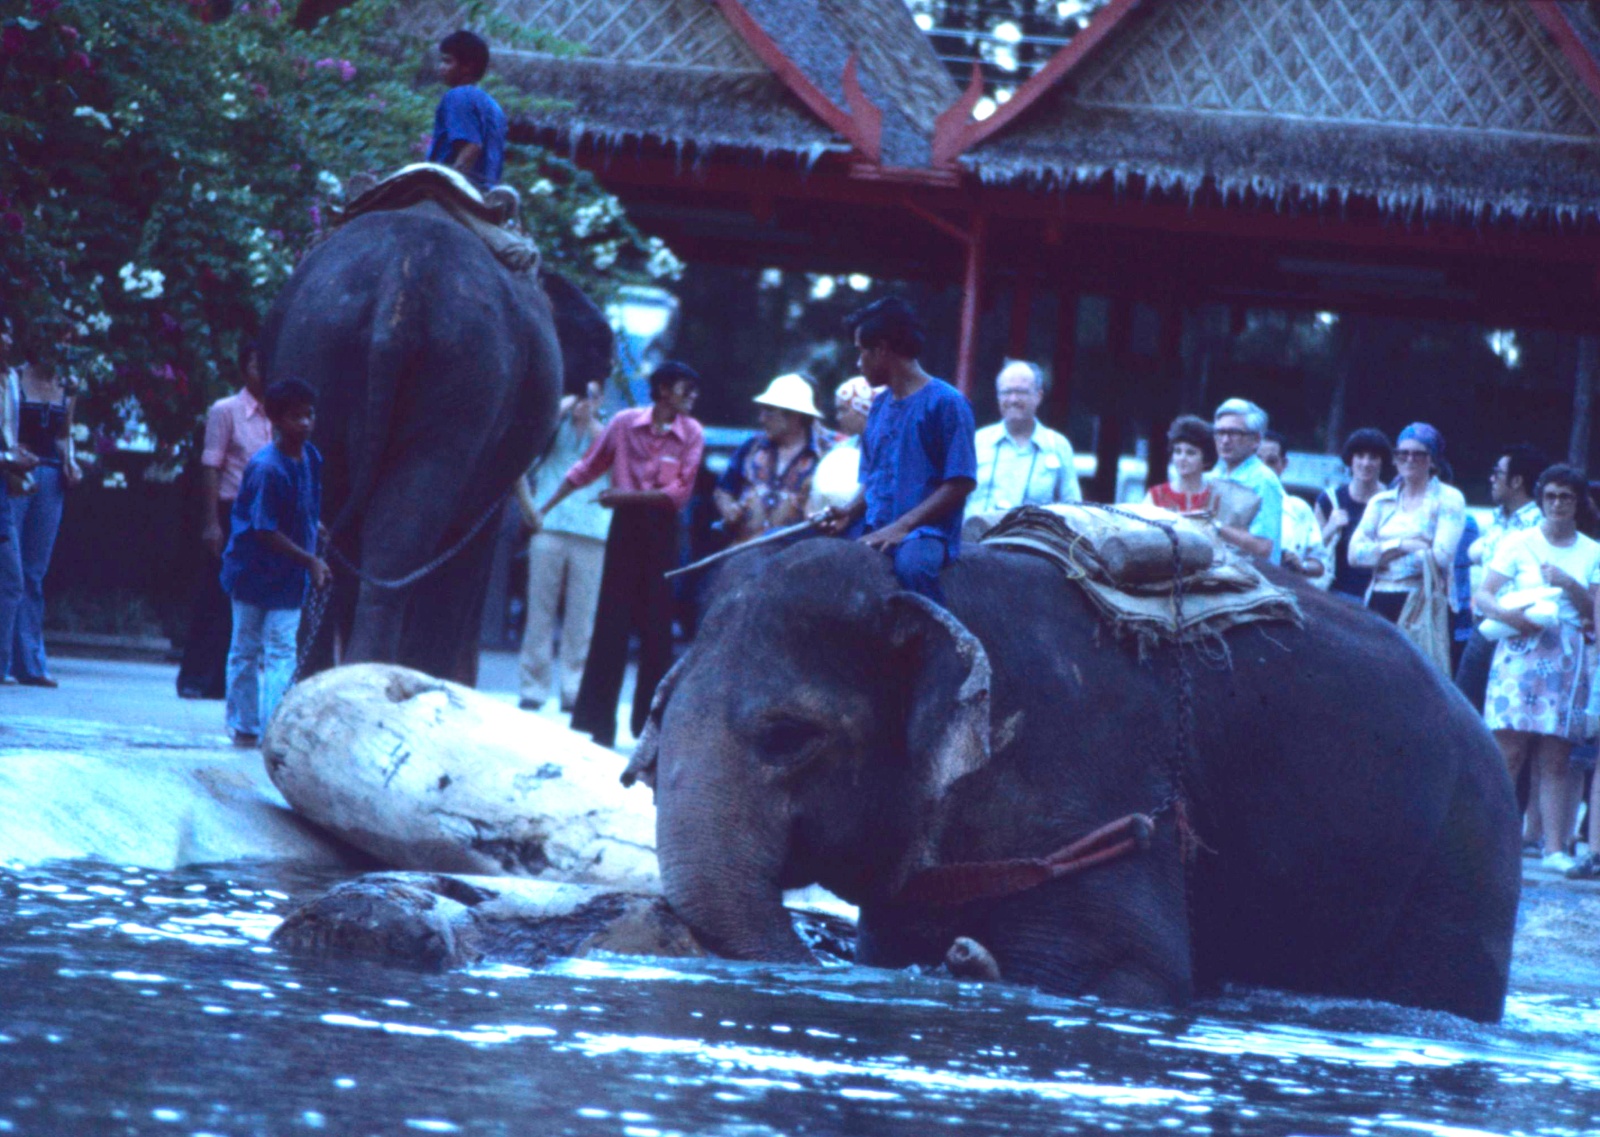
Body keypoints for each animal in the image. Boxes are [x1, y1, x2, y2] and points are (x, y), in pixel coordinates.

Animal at [260, 207, 612, 684]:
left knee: (335, 522)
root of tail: (401, 284)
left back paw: (324, 679)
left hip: (319, 349)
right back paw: (376, 673)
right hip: (465, 378)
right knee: (400, 536)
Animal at [626, 537, 1521, 1023]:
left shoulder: (1100, 777)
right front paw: (955, 958)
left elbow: (1128, 976)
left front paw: (972, 965)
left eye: (788, 736)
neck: (929, 590)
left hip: (1461, 864)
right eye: (657, 719)